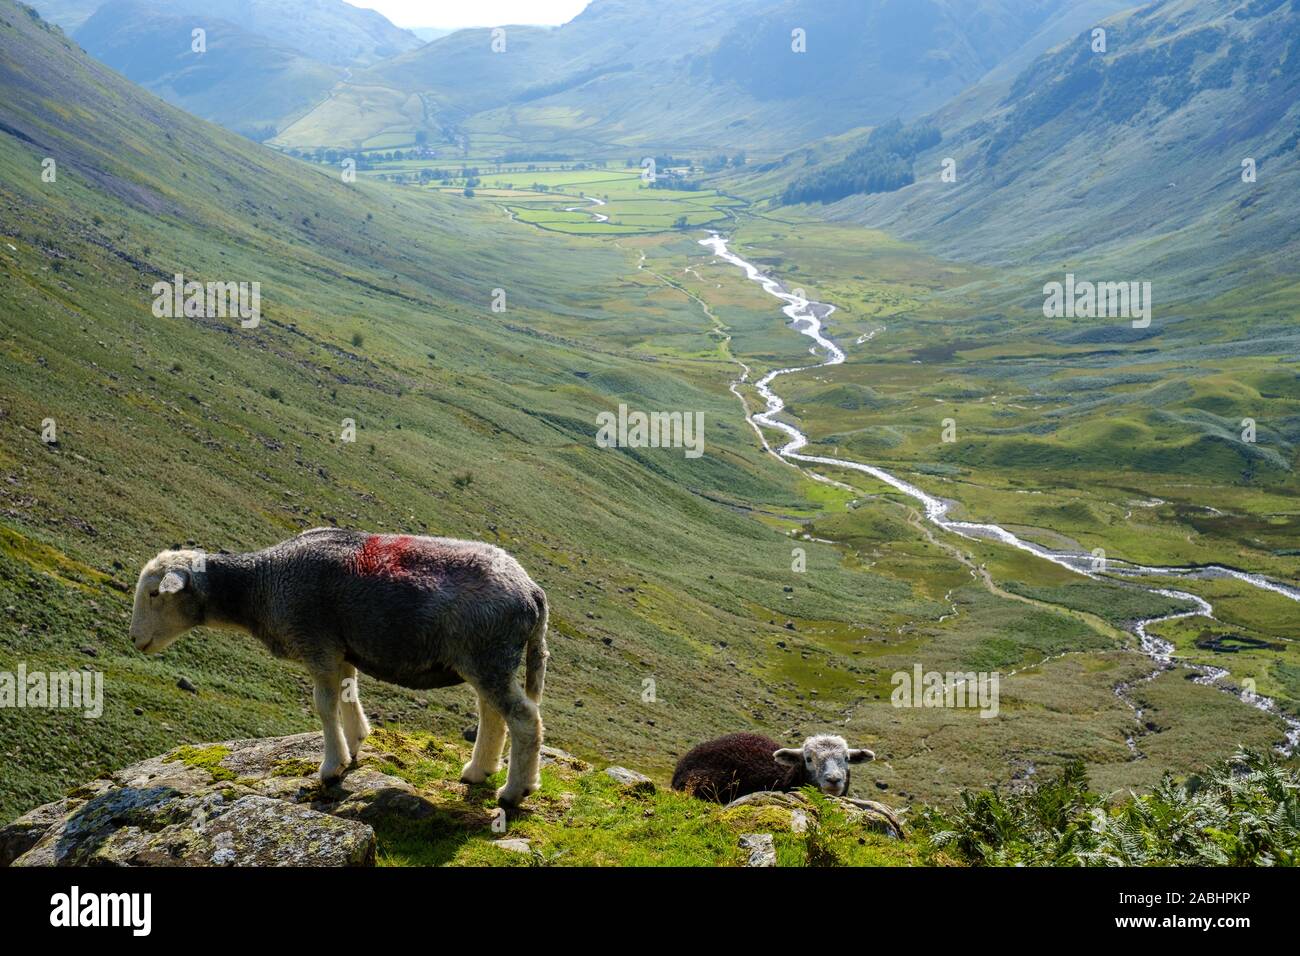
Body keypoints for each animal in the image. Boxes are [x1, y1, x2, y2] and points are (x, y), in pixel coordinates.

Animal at [129, 527, 549, 807]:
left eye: (154, 593)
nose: (134, 639)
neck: (261, 585)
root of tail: (532, 590)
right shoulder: (341, 649)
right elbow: (349, 696)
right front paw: (356, 741)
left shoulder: (318, 645)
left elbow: (324, 706)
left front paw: (331, 765)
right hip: (485, 658)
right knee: (493, 714)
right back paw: (479, 770)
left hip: (487, 654)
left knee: (524, 718)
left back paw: (516, 791)